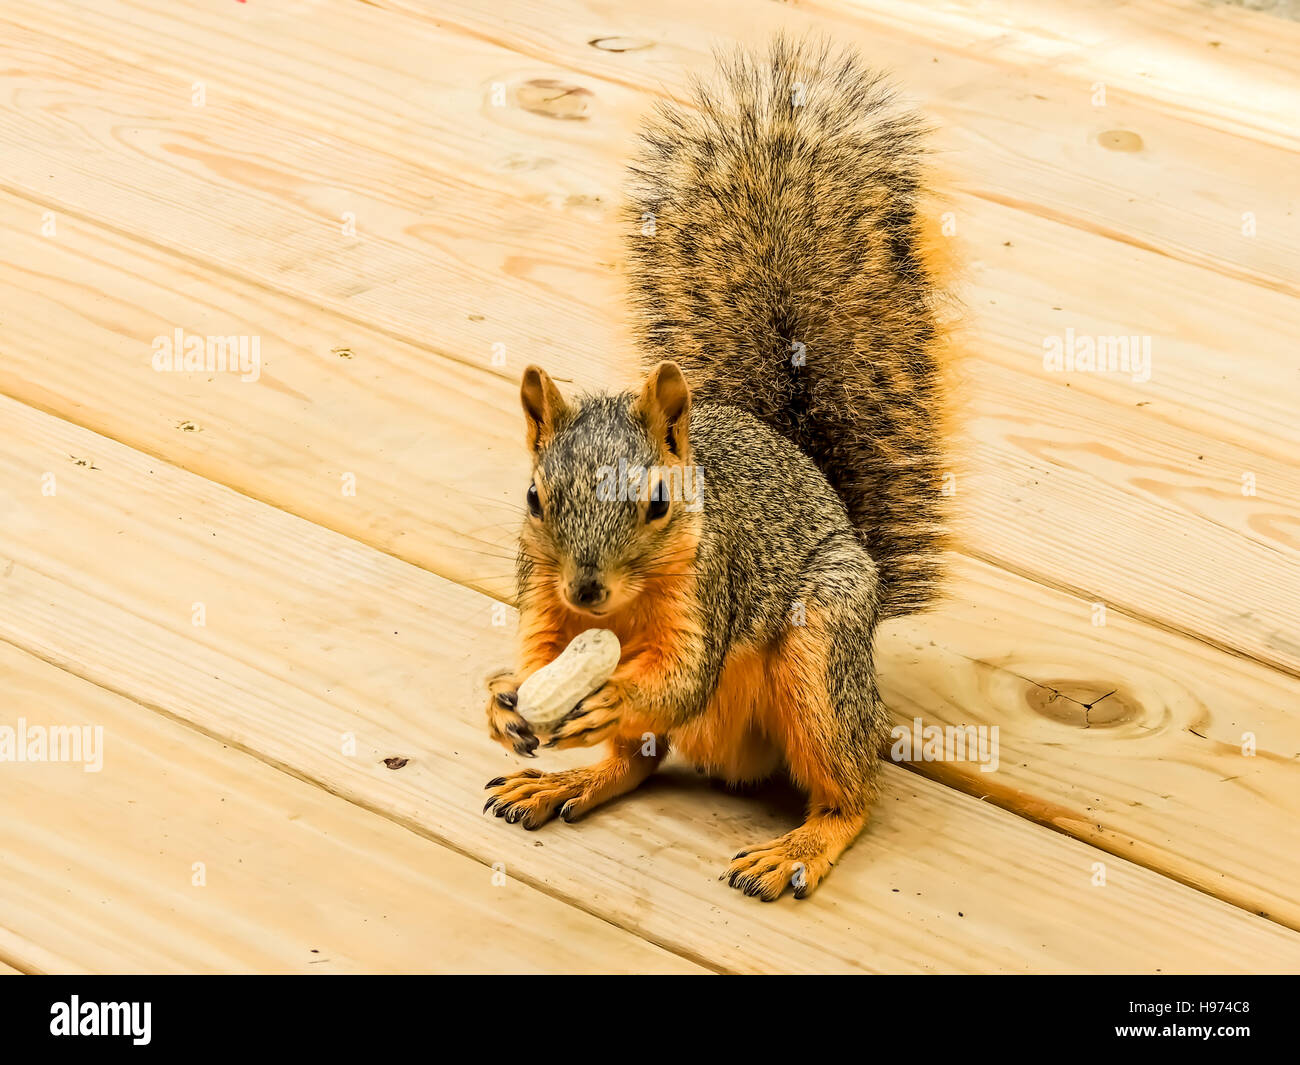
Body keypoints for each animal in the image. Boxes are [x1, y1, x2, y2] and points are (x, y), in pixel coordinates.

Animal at [483, 35, 951, 899]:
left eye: (658, 504)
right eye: (534, 495)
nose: (587, 590)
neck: (620, 612)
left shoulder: (713, 583)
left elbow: (681, 675)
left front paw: (612, 691)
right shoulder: (542, 591)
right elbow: (537, 655)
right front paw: (501, 701)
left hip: (822, 647)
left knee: (851, 789)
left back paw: (801, 845)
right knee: (635, 762)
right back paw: (570, 779)